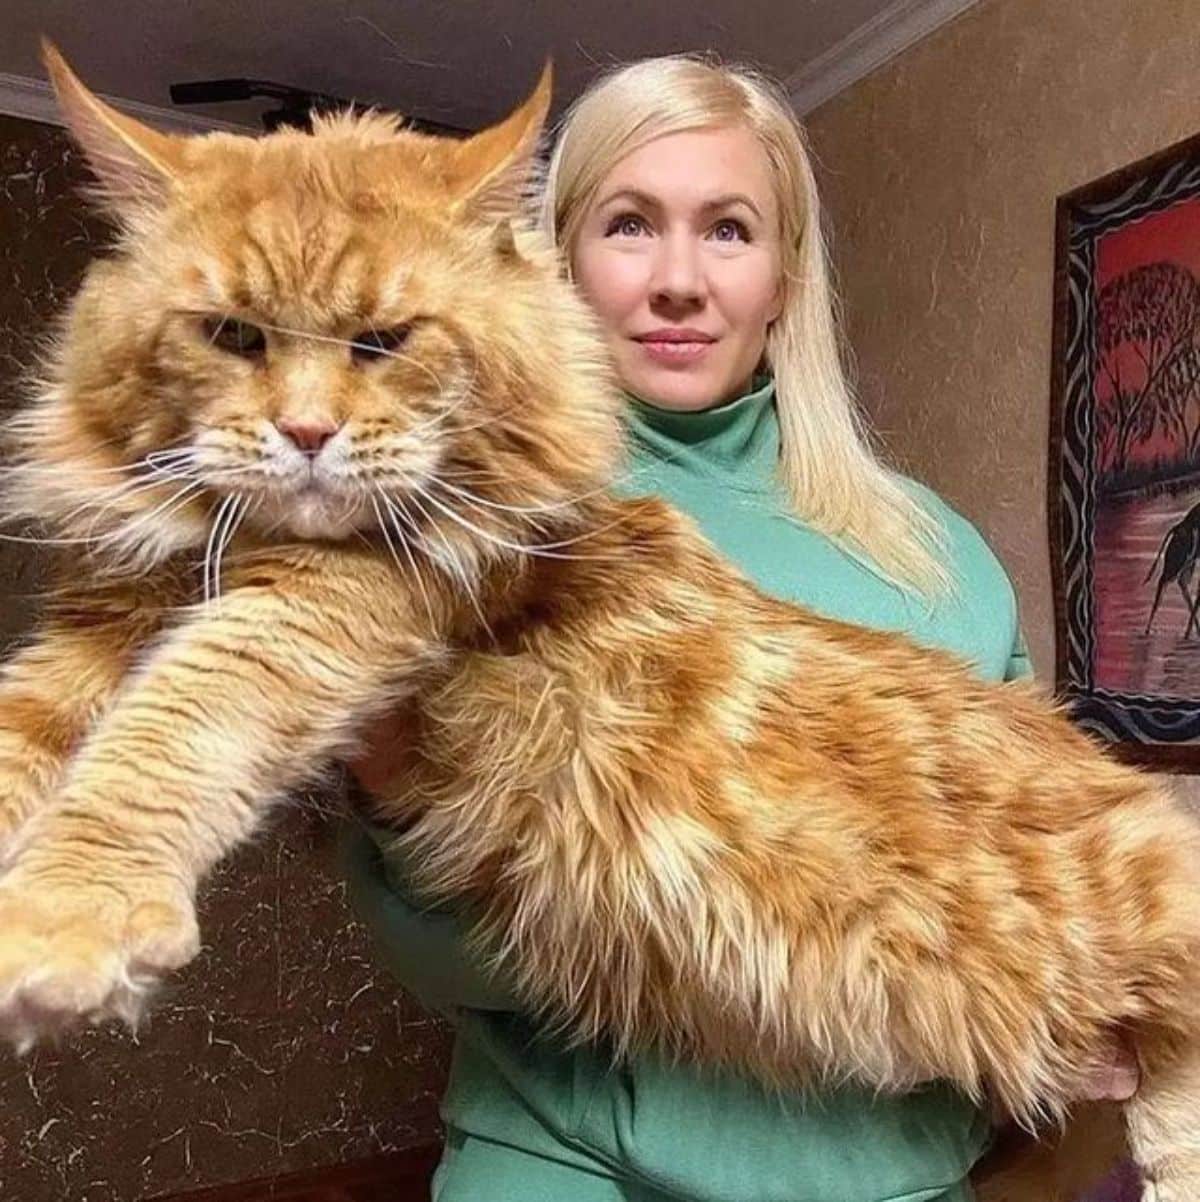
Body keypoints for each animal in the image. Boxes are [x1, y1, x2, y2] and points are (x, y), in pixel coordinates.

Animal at [0, 42, 1197, 1197]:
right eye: (231, 335)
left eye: (386, 340)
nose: (304, 433)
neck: (232, 538)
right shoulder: (106, 617)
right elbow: (31, 728)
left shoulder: (345, 597)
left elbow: (178, 724)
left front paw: (66, 910)